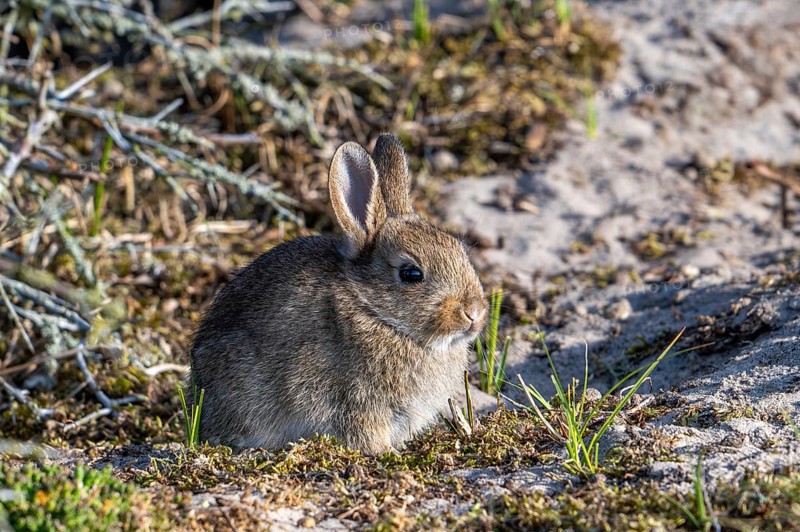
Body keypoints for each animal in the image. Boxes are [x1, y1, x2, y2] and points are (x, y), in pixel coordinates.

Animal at [189, 133, 488, 455]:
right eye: (411, 274)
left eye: (460, 249)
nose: (474, 312)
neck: (375, 312)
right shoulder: (356, 400)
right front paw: (387, 453)